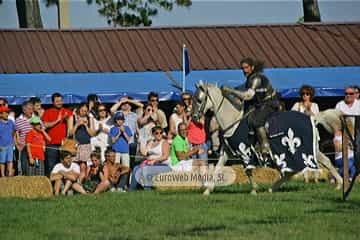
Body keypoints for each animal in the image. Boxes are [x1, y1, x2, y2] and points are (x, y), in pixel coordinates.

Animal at [193, 81, 344, 195]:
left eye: (200, 100)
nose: (194, 117)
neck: (233, 120)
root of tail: (311, 118)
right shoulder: (227, 152)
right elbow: (218, 168)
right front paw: (208, 190)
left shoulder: (245, 152)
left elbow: (248, 170)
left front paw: (254, 190)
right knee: (298, 170)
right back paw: (272, 188)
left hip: (304, 151)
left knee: (323, 162)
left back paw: (340, 183)